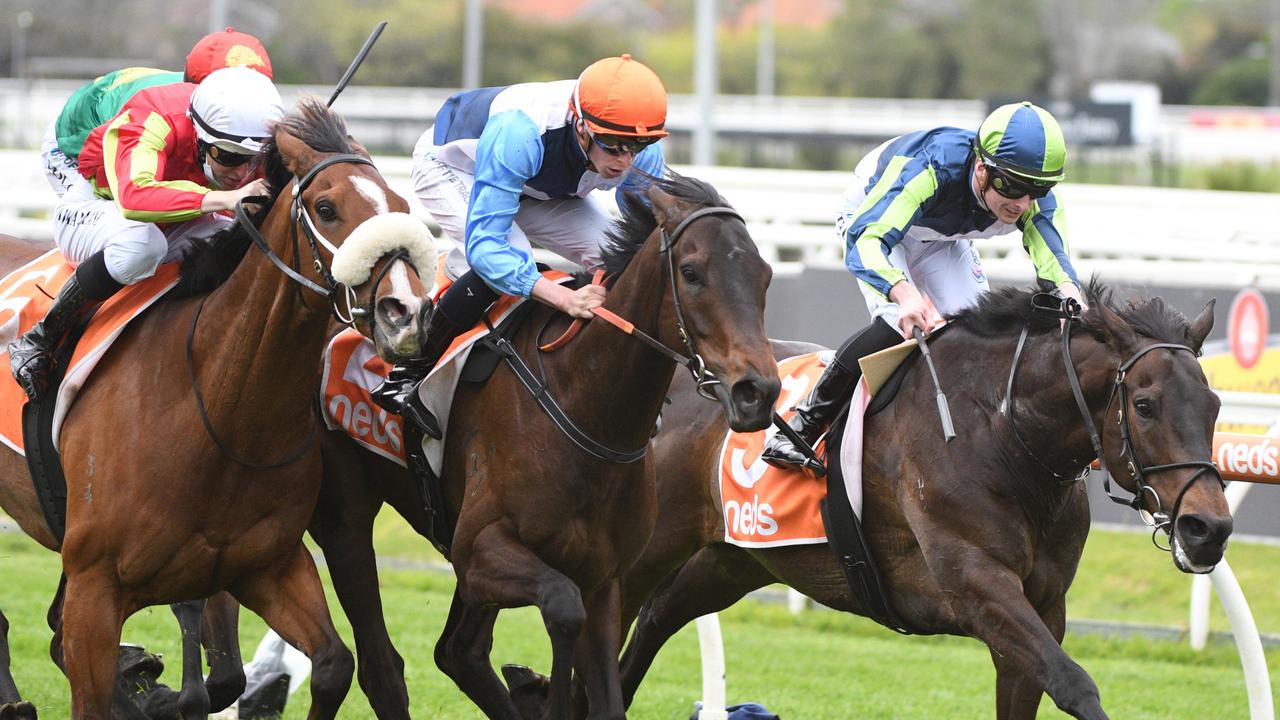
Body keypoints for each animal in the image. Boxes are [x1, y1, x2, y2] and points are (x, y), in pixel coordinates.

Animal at [0, 96, 435, 717]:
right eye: (326, 208)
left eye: (400, 206)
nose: (407, 313)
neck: (217, 411)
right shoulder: (95, 587)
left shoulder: (269, 566)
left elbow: (332, 664)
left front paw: (154, 686)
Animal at [614, 283, 1233, 717]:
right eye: (1146, 405)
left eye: (1215, 405)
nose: (1208, 528)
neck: (1002, 433)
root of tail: (684, 375)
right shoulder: (976, 585)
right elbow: (1074, 683)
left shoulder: (1043, 605)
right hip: (649, 547)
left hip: (730, 560)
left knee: (653, 622)